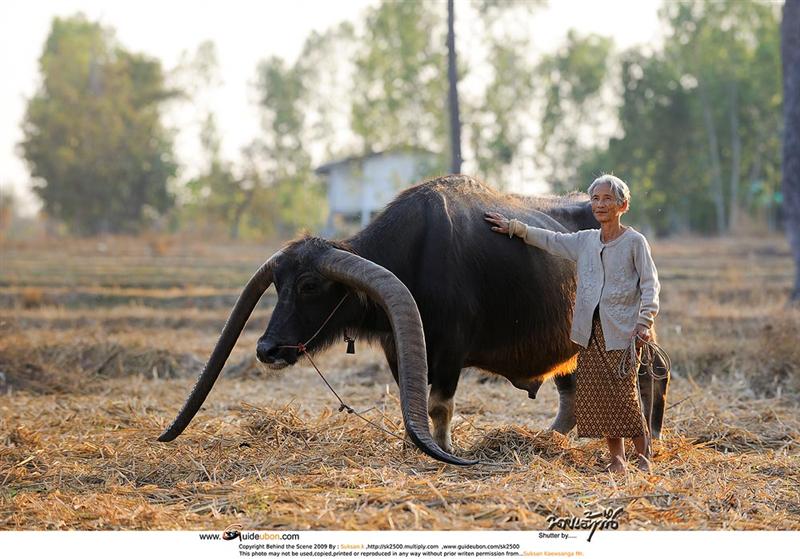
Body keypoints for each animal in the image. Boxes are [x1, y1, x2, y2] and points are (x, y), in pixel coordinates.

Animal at [158, 174, 668, 464]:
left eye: (308, 286)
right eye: (278, 286)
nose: (267, 349)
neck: (414, 255)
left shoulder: (451, 351)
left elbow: (438, 404)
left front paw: (445, 450)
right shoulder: (397, 345)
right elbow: (412, 395)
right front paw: (410, 443)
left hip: (634, 335)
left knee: (649, 378)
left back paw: (647, 443)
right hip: (569, 344)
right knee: (570, 390)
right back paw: (552, 440)